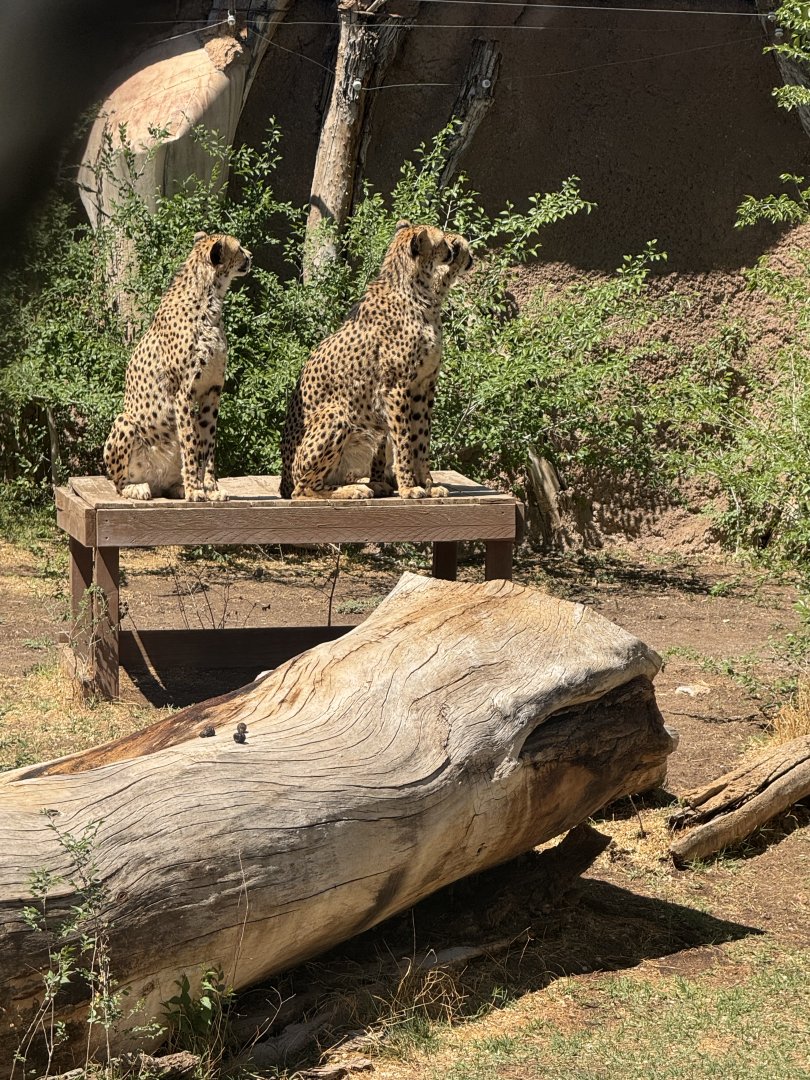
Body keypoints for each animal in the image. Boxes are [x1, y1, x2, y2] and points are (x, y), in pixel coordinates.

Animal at [103, 231, 251, 502]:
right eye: (239, 248)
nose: (251, 256)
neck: (211, 301)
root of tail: (156, 482)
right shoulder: (183, 393)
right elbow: (191, 444)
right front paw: (195, 490)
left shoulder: (212, 392)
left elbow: (208, 444)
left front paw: (210, 488)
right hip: (125, 421)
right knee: (118, 482)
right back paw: (137, 488)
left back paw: (179, 487)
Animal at [279, 221, 472, 501]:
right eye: (443, 243)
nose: (457, 247)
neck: (422, 294)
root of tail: (282, 482)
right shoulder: (396, 387)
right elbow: (405, 440)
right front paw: (409, 487)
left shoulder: (423, 386)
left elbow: (421, 440)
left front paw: (428, 484)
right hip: (335, 416)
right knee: (303, 489)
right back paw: (354, 490)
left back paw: (373, 484)